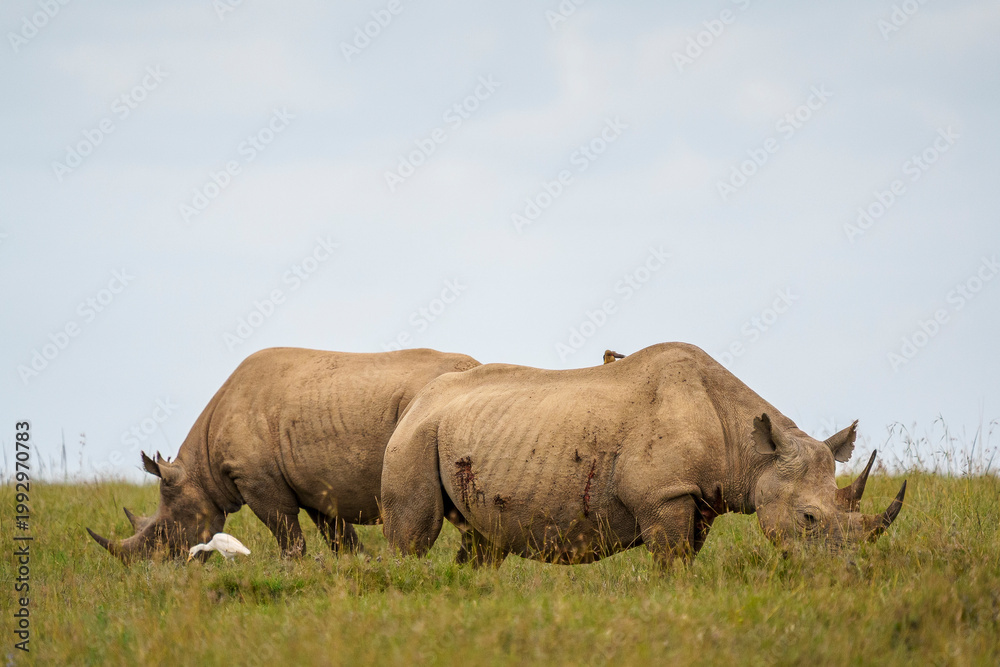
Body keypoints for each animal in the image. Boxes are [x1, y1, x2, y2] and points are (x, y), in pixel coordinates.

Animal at [87, 347, 480, 562]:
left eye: (164, 532)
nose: (155, 569)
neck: (201, 470)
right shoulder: (317, 487)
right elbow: (340, 538)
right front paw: (358, 565)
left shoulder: (255, 479)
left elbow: (288, 536)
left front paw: (292, 570)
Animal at [381, 342, 906, 566]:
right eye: (809, 519)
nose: (846, 570)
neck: (751, 452)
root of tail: (420, 400)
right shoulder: (665, 495)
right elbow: (671, 561)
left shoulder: (697, 498)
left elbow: (685, 558)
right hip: (412, 437)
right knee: (413, 535)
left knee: (483, 539)